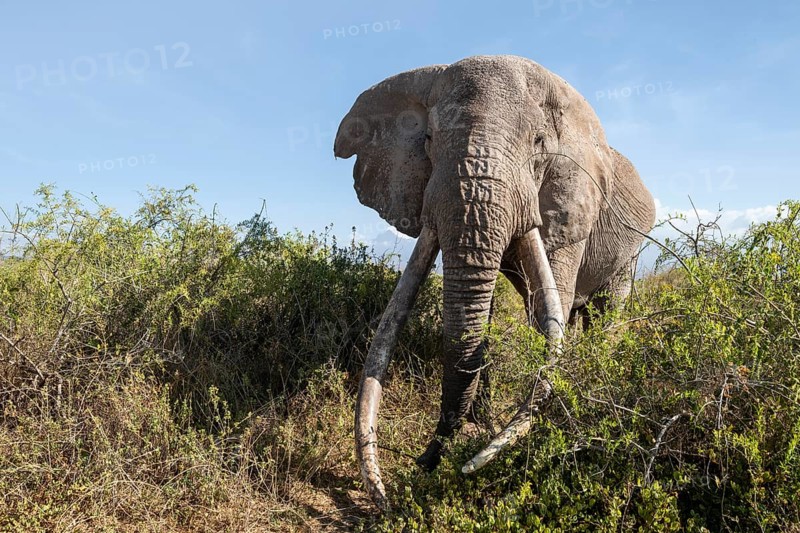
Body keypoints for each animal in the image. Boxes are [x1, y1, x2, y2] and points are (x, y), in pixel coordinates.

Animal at [333, 55, 656, 510]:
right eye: (427, 139)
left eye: (539, 142)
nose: (425, 463)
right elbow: (480, 310)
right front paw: (481, 425)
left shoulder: (571, 201)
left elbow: (549, 303)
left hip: (631, 247)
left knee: (607, 310)